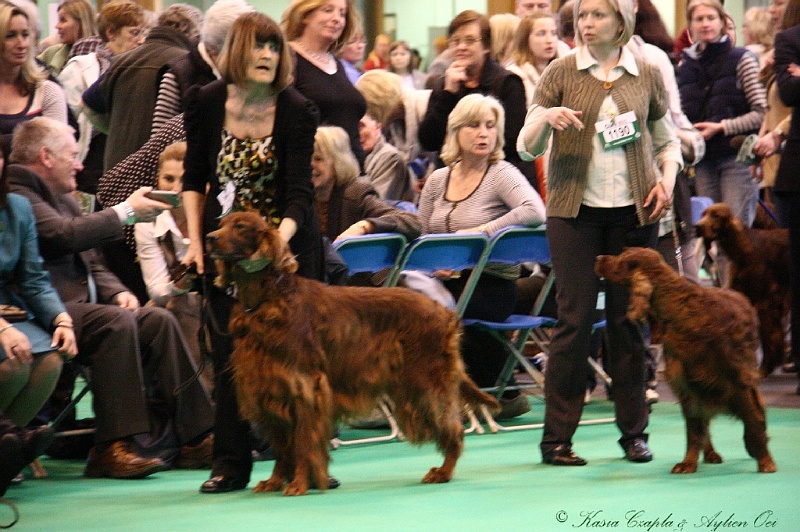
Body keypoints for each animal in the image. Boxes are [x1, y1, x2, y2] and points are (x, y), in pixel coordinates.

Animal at [205, 211, 500, 494]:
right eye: (222, 223)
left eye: (241, 226)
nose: (209, 238)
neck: (266, 300)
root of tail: (445, 312)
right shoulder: (270, 387)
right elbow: (282, 446)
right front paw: (275, 481)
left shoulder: (304, 386)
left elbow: (303, 442)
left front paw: (299, 484)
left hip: (424, 384)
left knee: (454, 429)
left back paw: (443, 472)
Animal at [692, 202, 788, 376]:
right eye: (703, 214)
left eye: (716, 216)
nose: (697, 227)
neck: (744, 248)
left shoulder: (765, 302)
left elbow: (767, 335)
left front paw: (765, 368)